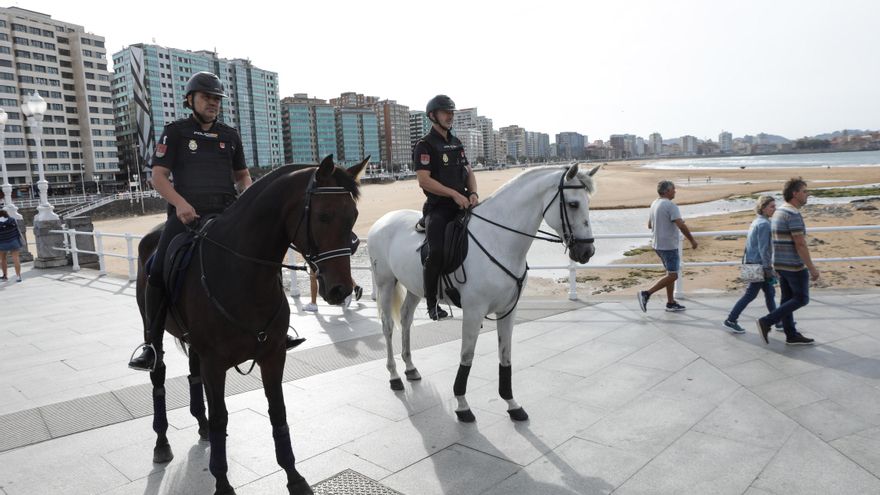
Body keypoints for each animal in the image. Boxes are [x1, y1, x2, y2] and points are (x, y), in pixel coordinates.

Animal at [137, 156, 368, 495]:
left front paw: (294, 477)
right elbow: (221, 418)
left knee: (193, 374)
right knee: (159, 377)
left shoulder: (272, 355)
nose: (341, 290)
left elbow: (278, 411)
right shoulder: (215, 364)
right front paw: (222, 482)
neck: (242, 273)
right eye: (324, 215)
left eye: (353, 216)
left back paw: (200, 425)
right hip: (153, 331)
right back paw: (161, 441)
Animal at [364, 164, 600, 422]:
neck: (498, 240)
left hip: (416, 287)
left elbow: (505, 355)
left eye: (588, 203)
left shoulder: (508, 311)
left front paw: (511, 403)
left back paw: (410, 368)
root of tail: (382, 220)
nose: (587, 251)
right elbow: (467, 355)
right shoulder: (473, 312)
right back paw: (394, 376)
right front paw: (462, 404)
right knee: (388, 326)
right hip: (385, 283)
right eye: (573, 204)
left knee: (406, 319)